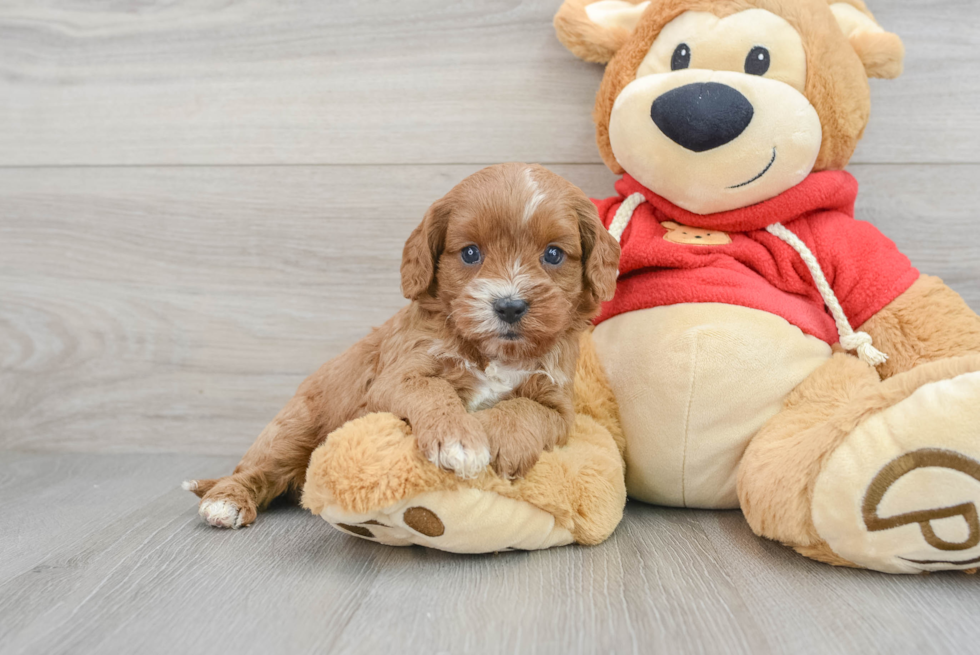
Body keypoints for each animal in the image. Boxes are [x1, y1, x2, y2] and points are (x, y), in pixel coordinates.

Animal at [184, 163, 620, 528]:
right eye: (470, 253)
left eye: (553, 254)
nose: (509, 306)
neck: (492, 352)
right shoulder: (395, 376)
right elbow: (432, 387)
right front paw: (459, 440)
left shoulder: (559, 402)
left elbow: (528, 410)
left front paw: (498, 440)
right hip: (294, 428)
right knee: (253, 470)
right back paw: (226, 501)